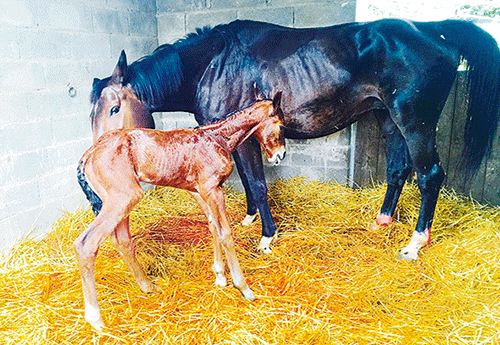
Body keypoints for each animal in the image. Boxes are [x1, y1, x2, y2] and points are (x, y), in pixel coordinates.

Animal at [74, 92, 286, 330]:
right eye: (282, 126)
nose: (280, 155)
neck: (217, 138)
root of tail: (89, 154)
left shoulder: (199, 192)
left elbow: (212, 225)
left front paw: (220, 277)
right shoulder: (212, 190)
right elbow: (225, 233)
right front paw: (243, 288)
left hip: (120, 202)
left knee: (123, 241)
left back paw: (148, 287)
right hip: (124, 198)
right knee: (86, 244)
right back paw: (96, 319)